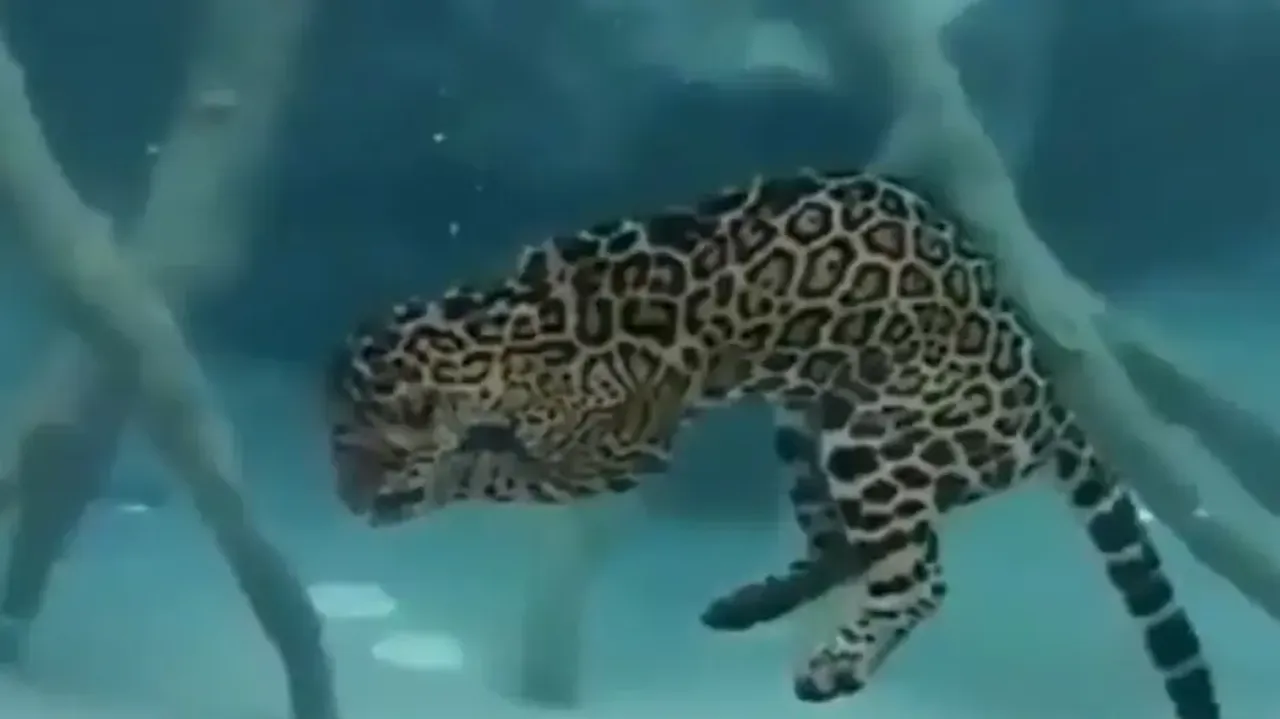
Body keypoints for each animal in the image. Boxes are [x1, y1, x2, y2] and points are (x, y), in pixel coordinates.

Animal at [325, 168, 1219, 718]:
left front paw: (436, 479)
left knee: (918, 576)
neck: (493, 328)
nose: (346, 500)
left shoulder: (619, 454)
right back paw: (744, 604)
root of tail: (1043, 394)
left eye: (360, 452)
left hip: (874, 437)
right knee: (850, 550)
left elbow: (497, 470)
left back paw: (835, 666)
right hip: (806, 423)